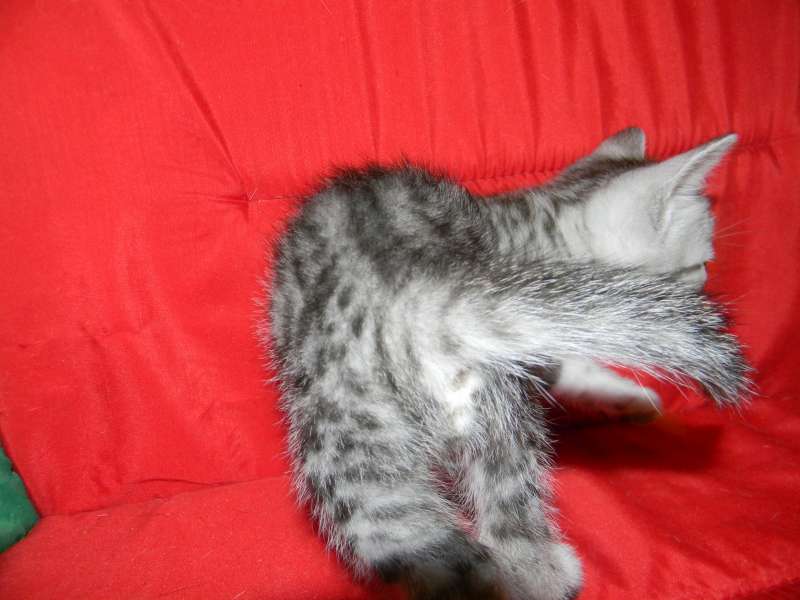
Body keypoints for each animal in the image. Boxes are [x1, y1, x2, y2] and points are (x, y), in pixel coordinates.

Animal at [264, 128, 751, 600]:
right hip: (490, 394)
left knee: (389, 524)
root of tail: (414, 290)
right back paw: (540, 568)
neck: (530, 229)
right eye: (699, 263)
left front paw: (632, 400)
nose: (707, 277)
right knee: (507, 485)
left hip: (342, 420)